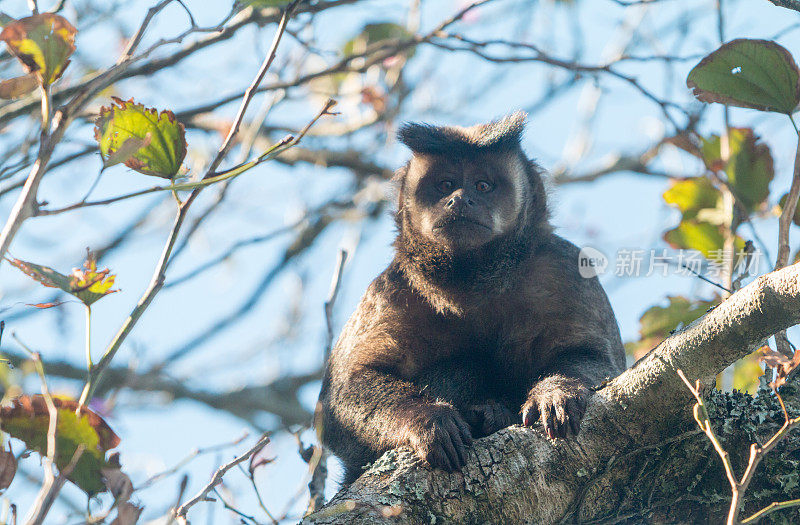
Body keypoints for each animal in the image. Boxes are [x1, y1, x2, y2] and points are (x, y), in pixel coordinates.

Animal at [316, 112, 628, 486]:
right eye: (445, 184)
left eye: (482, 186)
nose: (460, 199)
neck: (476, 284)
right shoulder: (391, 289)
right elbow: (340, 401)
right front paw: (427, 419)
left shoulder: (566, 269)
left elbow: (596, 358)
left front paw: (555, 393)